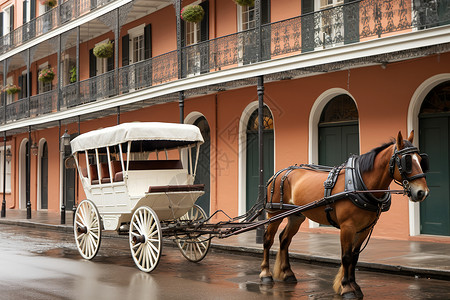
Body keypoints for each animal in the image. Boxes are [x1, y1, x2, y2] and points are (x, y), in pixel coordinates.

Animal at [260, 131, 428, 298]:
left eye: (421, 160)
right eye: (407, 162)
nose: (422, 192)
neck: (360, 184)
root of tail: (279, 173)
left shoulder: (364, 228)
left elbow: (354, 256)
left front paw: (355, 286)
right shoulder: (347, 227)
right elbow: (346, 257)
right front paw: (346, 287)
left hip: (296, 216)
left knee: (284, 239)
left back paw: (287, 273)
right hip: (274, 213)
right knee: (268, 240)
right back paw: (265, 274)